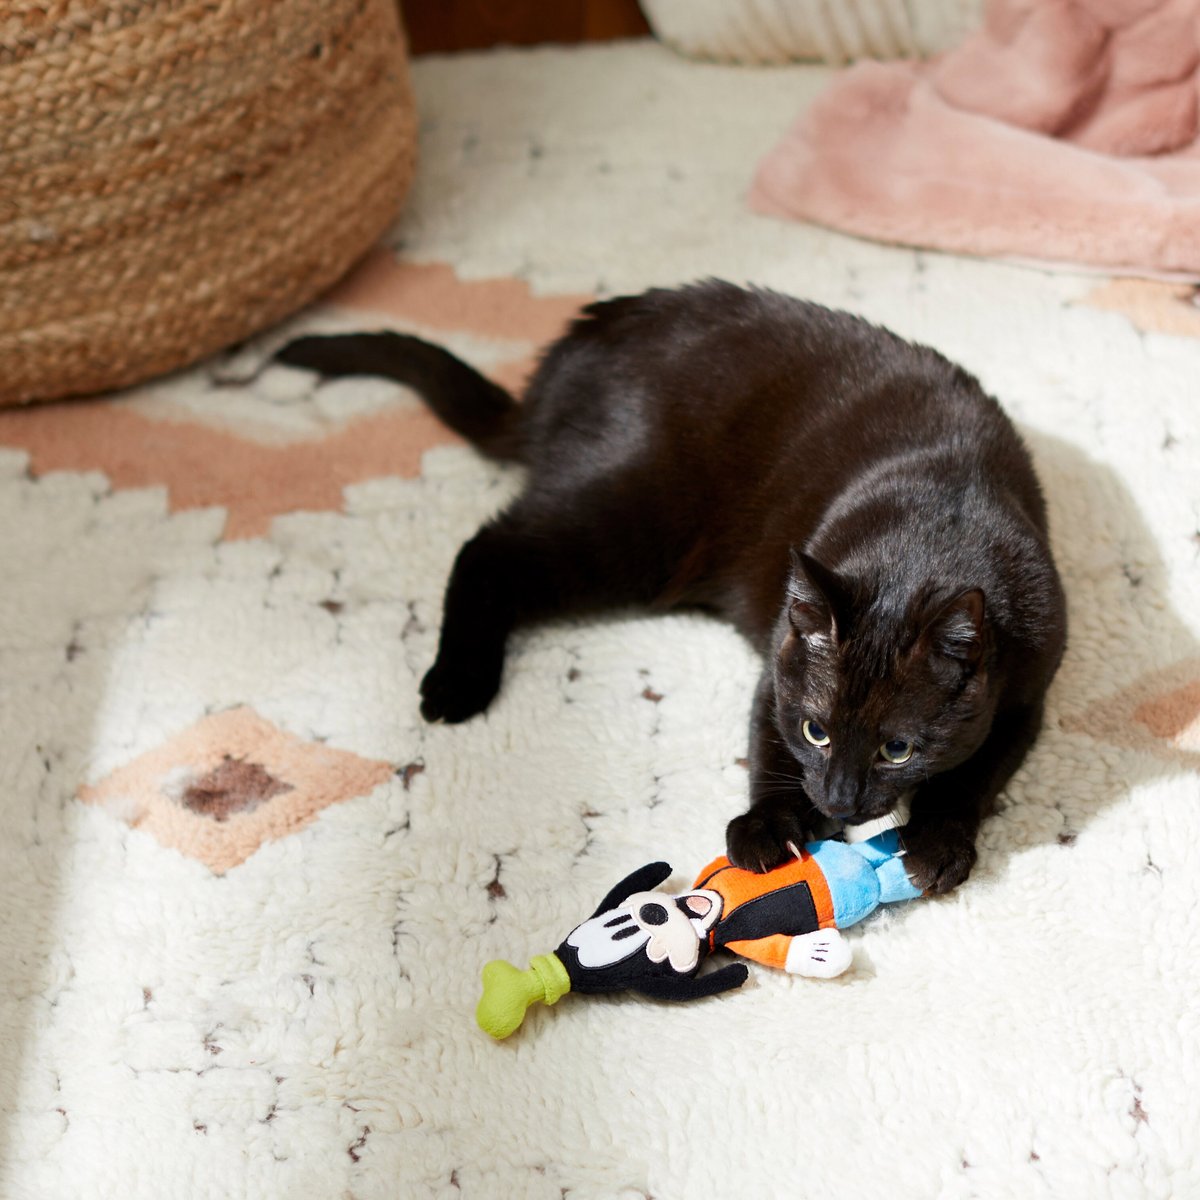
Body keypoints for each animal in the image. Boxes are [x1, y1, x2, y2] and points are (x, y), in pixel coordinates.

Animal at [280, 280, 1070, 892]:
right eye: (817, 729)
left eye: (897, 749)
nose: (841, 801)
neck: (929, 535)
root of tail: (569, 357)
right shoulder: (778, 669)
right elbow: (766, 746)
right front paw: (765, 829)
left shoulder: (1023, 701)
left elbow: (970, 778)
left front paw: (935, 845)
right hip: (627, 526)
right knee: (485, 549)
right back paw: (456, 683)